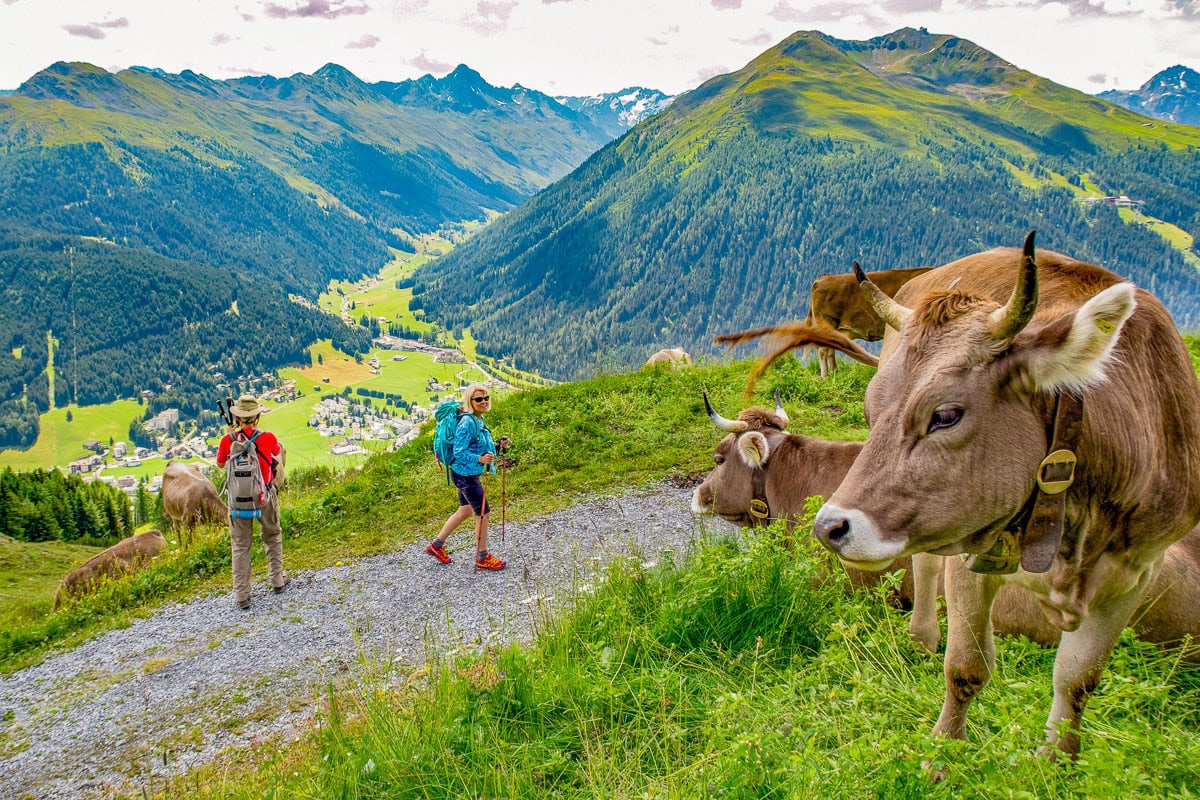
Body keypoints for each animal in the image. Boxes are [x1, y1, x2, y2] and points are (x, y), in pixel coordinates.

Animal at [720, 232, 1200, 762]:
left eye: (946, 415)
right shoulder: (973, 555)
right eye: (870, 408)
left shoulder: (1134, 572)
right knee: (928, 565)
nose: (829, 529)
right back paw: (922, 639)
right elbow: (967, 665)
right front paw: (942, 754)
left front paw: (1056, 760)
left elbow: (1078, 679)